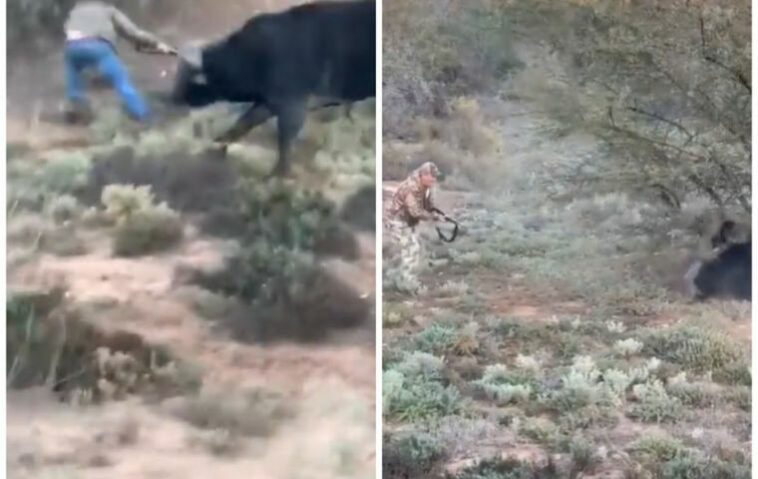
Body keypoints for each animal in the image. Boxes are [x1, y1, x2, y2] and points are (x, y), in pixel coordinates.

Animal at [170, 0, 378, 177]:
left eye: (187, 77)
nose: (173, 97)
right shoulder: (268, 103)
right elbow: (243, 123)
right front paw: (216, 146)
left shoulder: (293, 104)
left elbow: (284, 140)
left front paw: (279, 174)